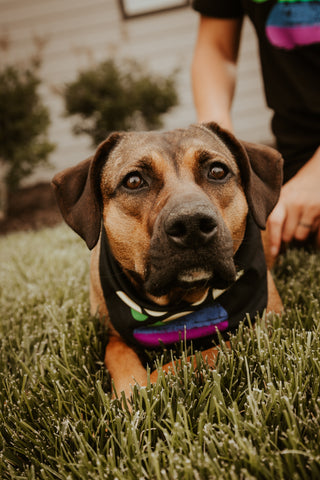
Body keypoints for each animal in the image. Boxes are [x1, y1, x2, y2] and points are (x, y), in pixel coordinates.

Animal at [52, 123, 282, 398]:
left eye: (217, 171)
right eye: (133, 181)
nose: (192, 224)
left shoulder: (260, 326)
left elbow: (190, 359)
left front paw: (148, 387)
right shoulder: (113, 335)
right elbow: (118, 356)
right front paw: (128, 392)